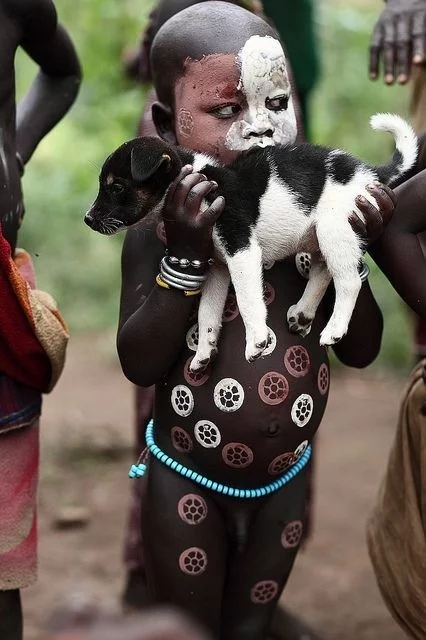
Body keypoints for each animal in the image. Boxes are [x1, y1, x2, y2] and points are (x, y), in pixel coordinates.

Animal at [85, 112, 418, 368]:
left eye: (117, 187)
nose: (87, 219)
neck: (197, 180)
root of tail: (369, 172)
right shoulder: (217, 267)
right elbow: (207, 313)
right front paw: (204, 352)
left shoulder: (240, 249)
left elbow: (247, 301)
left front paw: (257, 340)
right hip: (321, 235)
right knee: (325, 270)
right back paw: (303, 312)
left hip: (334, 228)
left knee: (348, 282)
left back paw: (334, 329)